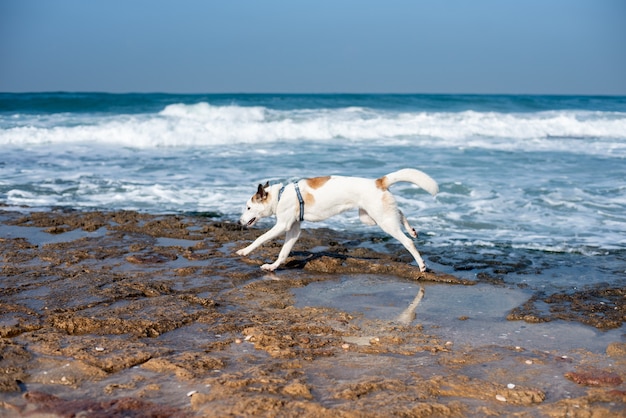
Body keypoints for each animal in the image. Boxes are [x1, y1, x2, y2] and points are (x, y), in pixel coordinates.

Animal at [236, 168, 436, 272]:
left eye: (248, 207)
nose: (239, 222)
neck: (280, 195)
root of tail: (378, 182)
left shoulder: (282, 226)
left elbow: (260, 238)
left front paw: (244, 251)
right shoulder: (293, 230)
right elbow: (283, 252)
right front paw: (273, 267)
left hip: (384, 222)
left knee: (408, 242)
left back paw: (421, 263)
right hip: (371, 217)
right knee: (400, 212)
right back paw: (412, 230)